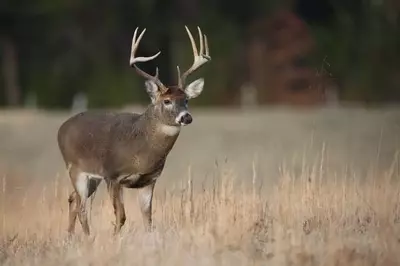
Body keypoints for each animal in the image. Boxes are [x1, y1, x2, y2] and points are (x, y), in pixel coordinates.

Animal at [57, 26, 211, 236]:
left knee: (73, 199)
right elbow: (121, 216)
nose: (186, 117)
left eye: (186, 100)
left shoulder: (149, 180)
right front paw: (115, 239)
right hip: (75, 169)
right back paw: (88, 238)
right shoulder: (112, 175)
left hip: (91, 177)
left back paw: (71, 237)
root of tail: (61, 129)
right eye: (167, 101)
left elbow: (148, 220)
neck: (141, 151)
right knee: (81, 207)